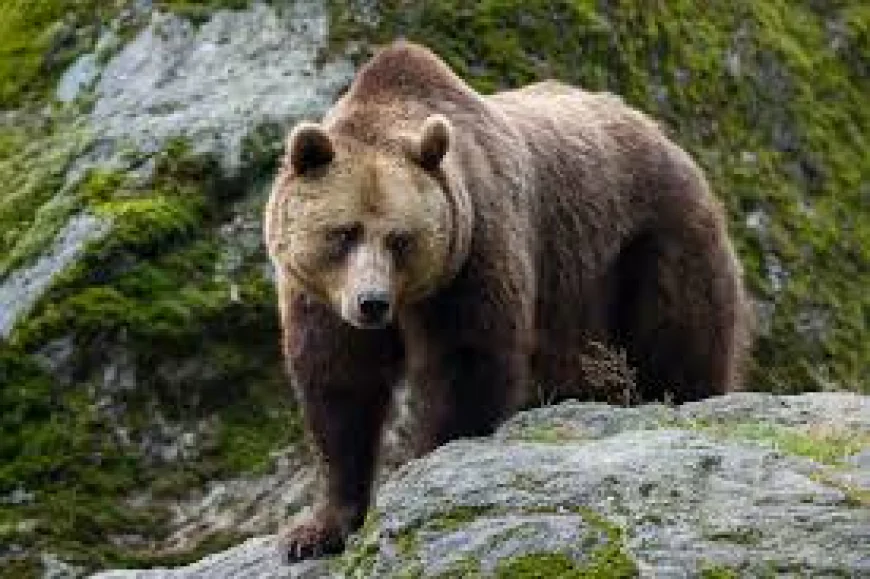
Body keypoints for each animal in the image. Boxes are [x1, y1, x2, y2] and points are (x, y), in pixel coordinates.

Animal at [264, 40, 750, 561]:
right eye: (344, 232)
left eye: (400, 239)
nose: (371, 302)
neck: (411, 299)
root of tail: (661, 133)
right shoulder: (320, 298)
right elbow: (340, 388)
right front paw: (316, 530)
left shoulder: (476, 247)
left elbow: (467, 361)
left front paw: (433, 462)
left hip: (647, 245)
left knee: (680, 341)